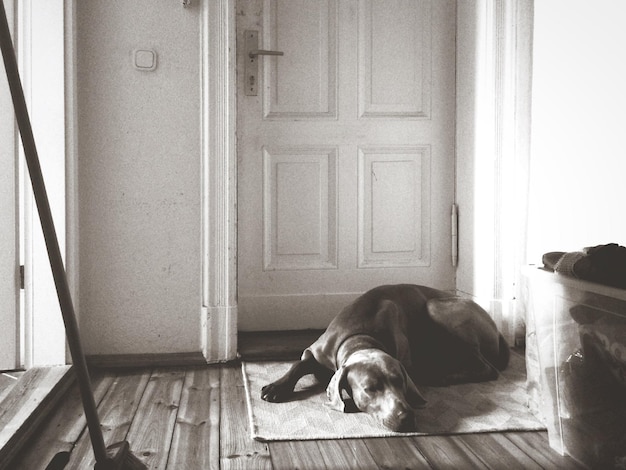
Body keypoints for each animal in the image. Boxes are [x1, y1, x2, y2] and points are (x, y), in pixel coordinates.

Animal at [258, 284, 508, 432]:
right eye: (371, 389)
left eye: (400, 382)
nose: (406, 417)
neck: (359, 336)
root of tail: (496, 328)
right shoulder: (315, 351)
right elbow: (298, 365)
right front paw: (276, 387)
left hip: (437, 307)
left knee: (486, 368)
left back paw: (440, 375)